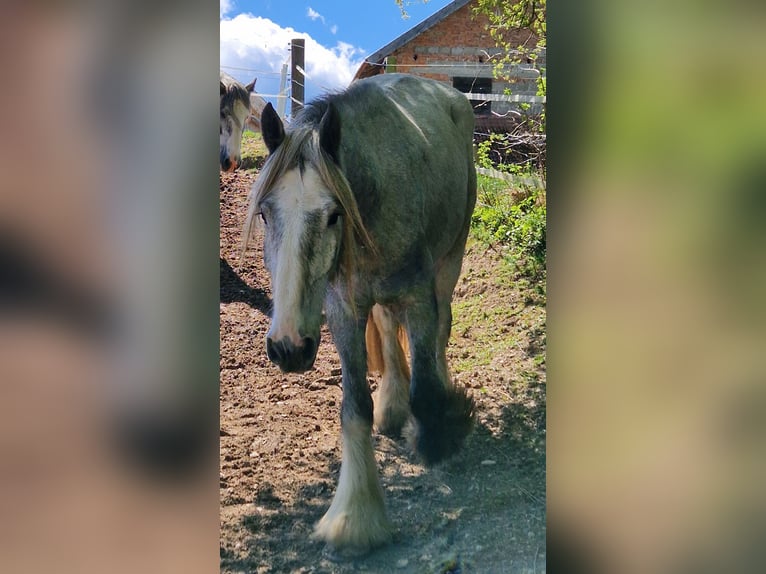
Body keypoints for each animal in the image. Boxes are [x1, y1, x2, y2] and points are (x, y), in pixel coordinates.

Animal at [242, 73, 477, 555]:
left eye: (334, 215)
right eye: (266, 215)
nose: (287, 347)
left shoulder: (420, 297)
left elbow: (426, 382)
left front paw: (437, 436)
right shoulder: (344, 311)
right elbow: (354, 407)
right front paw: (354, 516)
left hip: (451, 258)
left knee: (441, 331)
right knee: (387, 330)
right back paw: (392, 404)